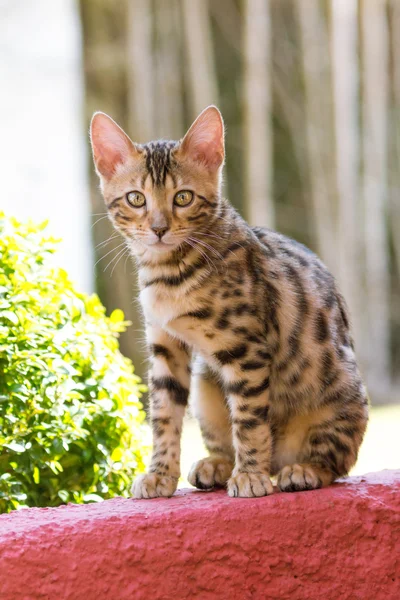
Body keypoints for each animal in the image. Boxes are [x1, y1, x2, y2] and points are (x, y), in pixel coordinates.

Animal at [90, 106, 368, 496]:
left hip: (341, 390)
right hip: (205, 387)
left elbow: (249, 419)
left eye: (183, 198)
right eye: (136, 198)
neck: (169, 273)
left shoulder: (246, 349)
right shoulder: (165, 346)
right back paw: (216, 465)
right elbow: (163, 415)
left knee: (337, 461)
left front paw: (250, 475)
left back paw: (301, 470)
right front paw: (160, 474)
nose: (159, 229)